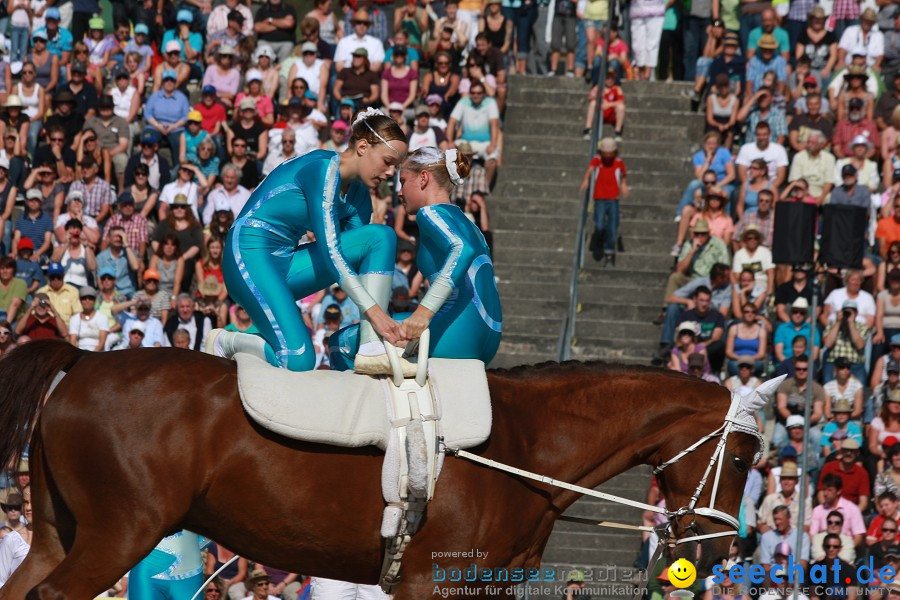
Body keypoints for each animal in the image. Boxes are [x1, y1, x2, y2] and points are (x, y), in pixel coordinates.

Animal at [0, 340, 760, 596]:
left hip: (61, 532)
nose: (719, 550)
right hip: (122, 532)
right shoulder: (431, 584)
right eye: (743, 454)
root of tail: (83, 361)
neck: (523, 446)